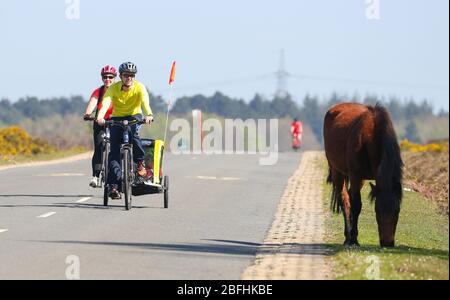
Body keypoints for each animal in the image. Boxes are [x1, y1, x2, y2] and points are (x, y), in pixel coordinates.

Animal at [324, 102, 404, 247]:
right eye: (377, 210)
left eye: (397, 211)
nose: (387, 243)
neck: (370, 137)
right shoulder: (356, 176)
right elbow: (356, 206)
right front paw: (354, 239)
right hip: (338, 172)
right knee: (345, 200)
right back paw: (348, 236)